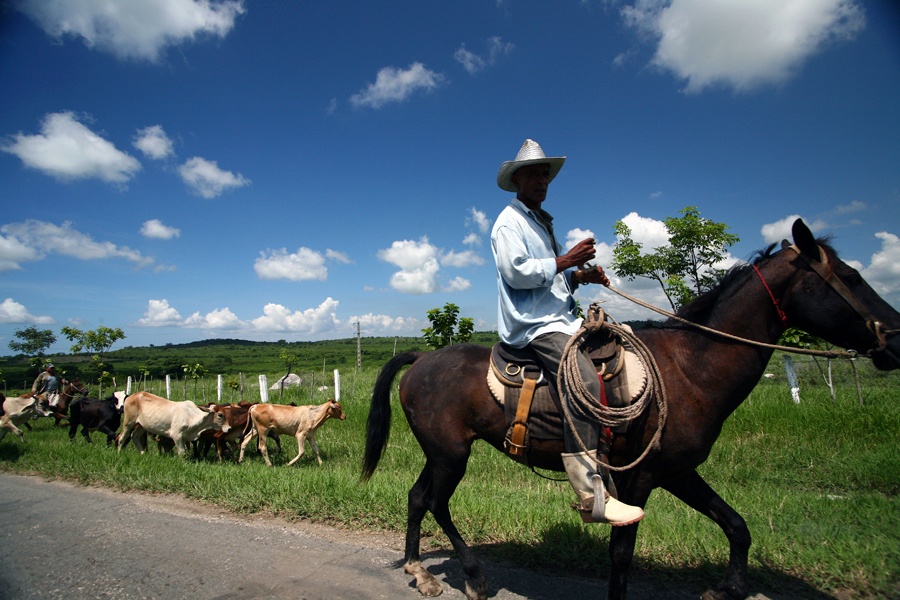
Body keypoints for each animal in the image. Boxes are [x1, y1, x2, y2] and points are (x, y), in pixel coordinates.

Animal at [362, 220, 896, 600]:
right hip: (451, 454)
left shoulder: (677, 471)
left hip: (440, 453)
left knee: (417, 497)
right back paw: (471, 576)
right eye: (851, 277)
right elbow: (621, 557)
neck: (690, 369)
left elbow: (737, 526)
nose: (895, 336)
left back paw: (419, 571)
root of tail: (422, 359)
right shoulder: (638, 480)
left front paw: (730, 587)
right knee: (436, 503)